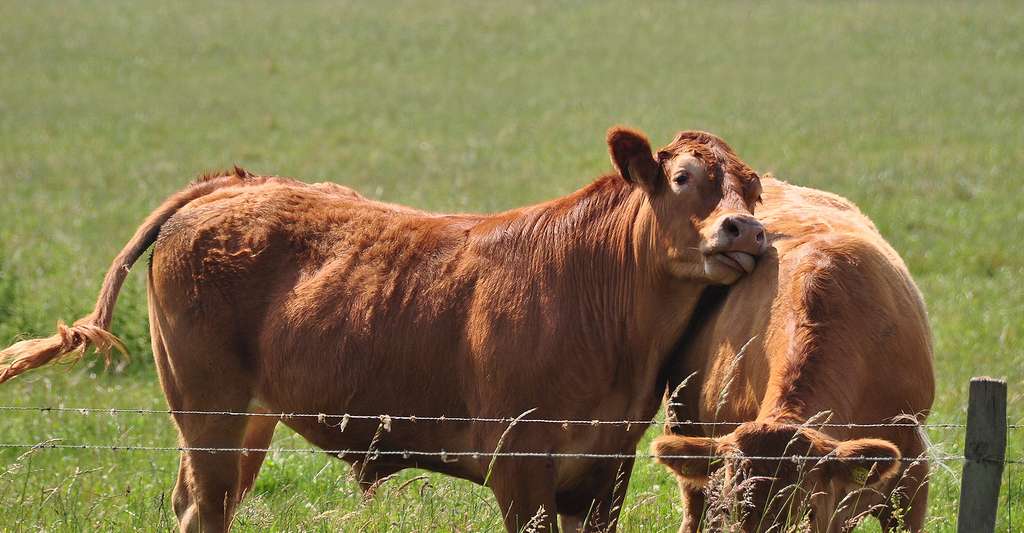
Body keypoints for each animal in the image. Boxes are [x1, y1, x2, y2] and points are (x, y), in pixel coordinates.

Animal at [2, 126, 770, 527]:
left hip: (249, 420)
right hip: (206, 411)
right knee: (202, 506)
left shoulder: (605, 470)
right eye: (683, 178)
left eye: (755, 187)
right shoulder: (519, 463)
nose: (746, 229)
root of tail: (240, 182)